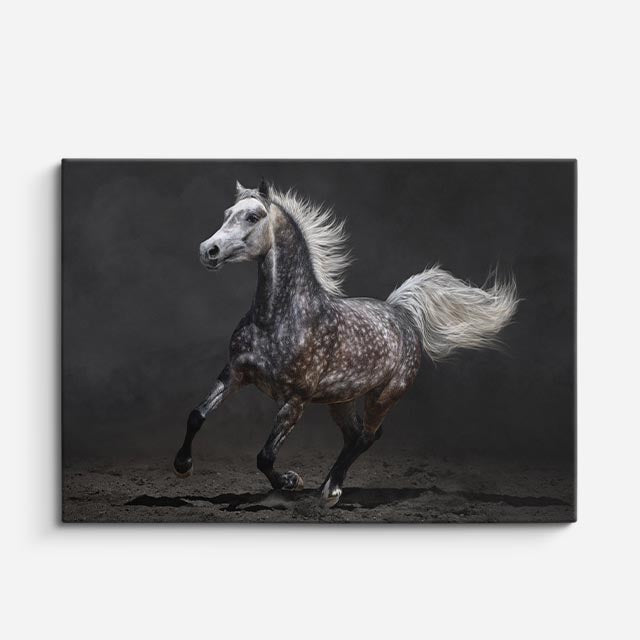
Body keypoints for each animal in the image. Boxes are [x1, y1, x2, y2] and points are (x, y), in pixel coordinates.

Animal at [173, 179, 518, 506]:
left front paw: (290, 482)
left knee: (367, 436)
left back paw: (330, 491)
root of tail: (401, 313)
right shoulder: (234, 374)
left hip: (384, 395)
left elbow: (265, 457)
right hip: (342, 399)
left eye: (253, 216)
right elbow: (196, 415)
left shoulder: (295, 400)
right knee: (355, 436)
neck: (278, 319)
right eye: (227, 214)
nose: (209, 250)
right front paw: (182, 466)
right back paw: (329, 485)